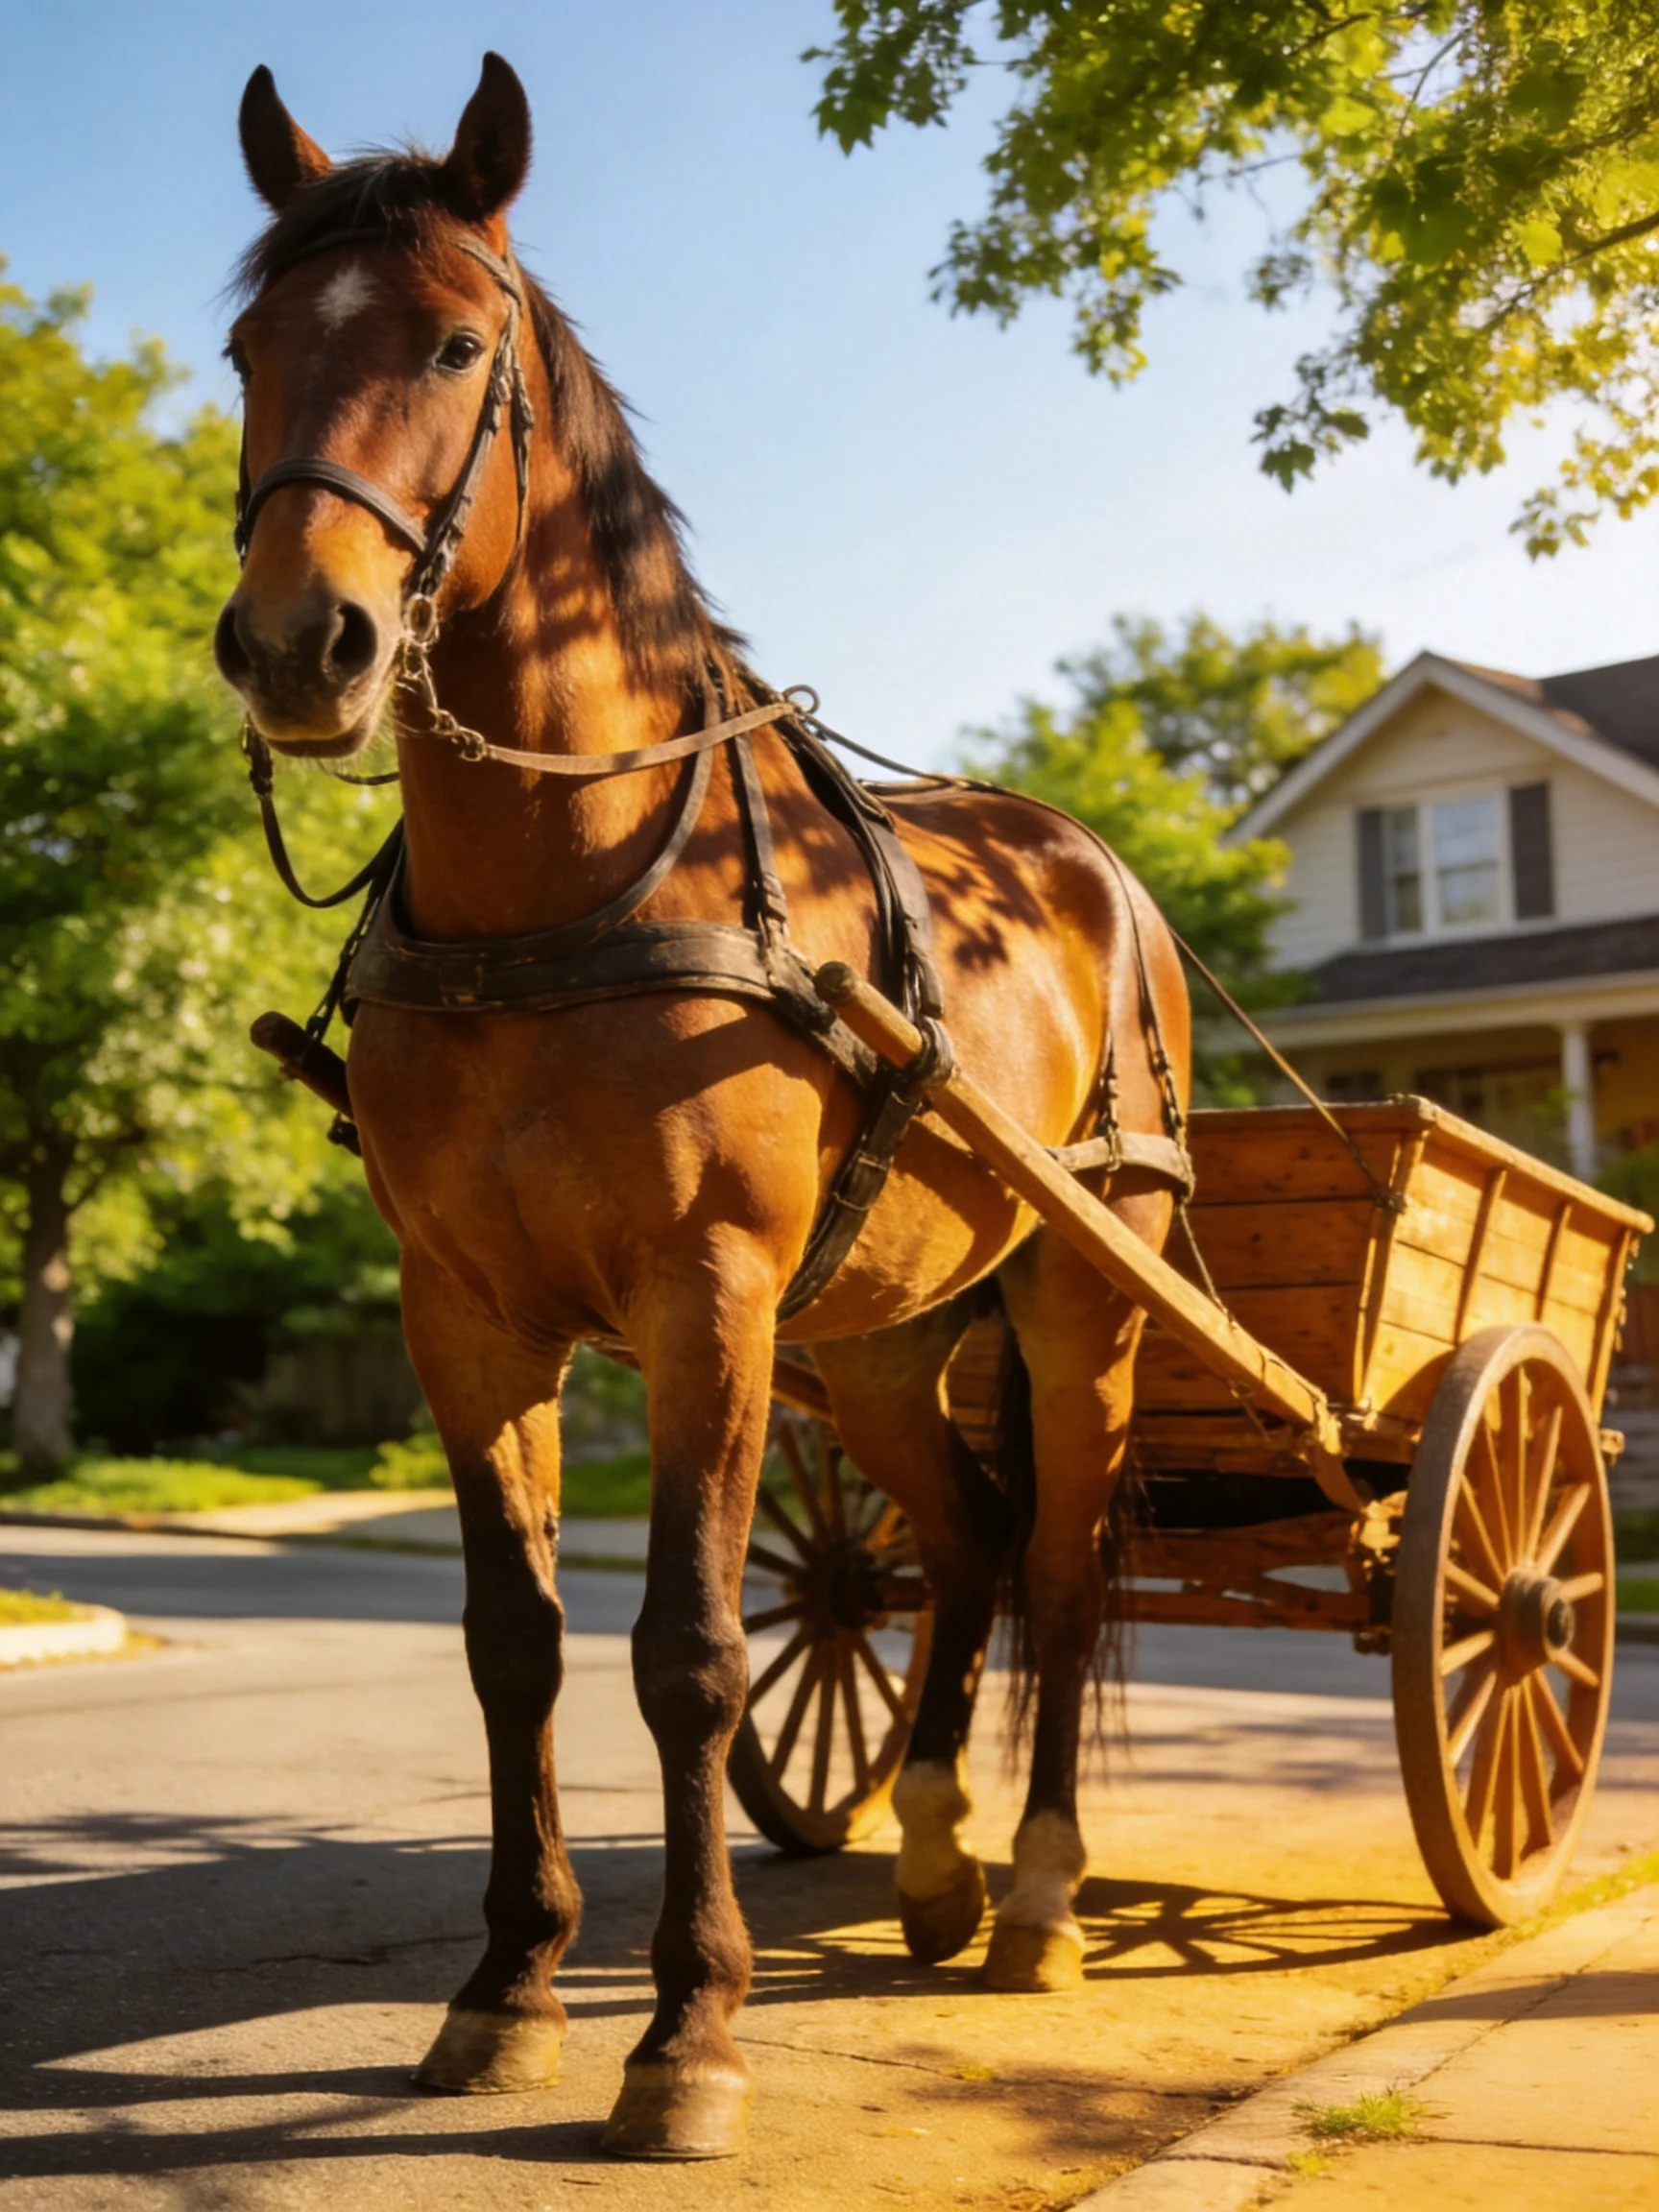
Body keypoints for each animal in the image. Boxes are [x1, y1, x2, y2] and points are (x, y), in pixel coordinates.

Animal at [214, 53, 1192, 2161]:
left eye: (454, 341)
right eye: (249, 348)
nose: (297, 643)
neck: (566, 880)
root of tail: (1095, 869)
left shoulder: (709, 1300)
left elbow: (688, 1651)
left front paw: (687, 2028)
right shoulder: (465, 1314)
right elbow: (514, 1644)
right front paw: (509, 1984)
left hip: (1083, 1286)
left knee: (1062, 1559)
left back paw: (1042, 1892)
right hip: (891, 1334)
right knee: (964, 1538)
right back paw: (932, 1857)